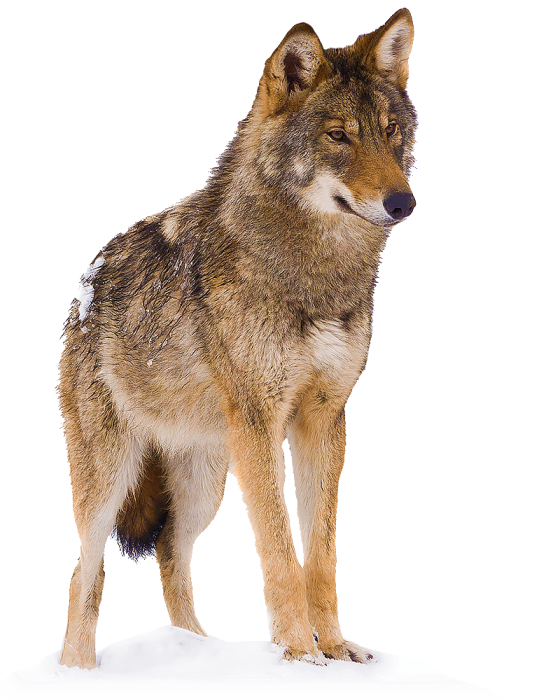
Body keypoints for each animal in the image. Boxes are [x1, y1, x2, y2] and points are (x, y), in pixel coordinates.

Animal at [57, 7, 417, 669]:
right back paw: (80, 672)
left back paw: (197, 652)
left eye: (389, 132)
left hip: (206, 485)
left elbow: (320, 555)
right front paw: (301, 656)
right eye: (338, 136)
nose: (403, 201)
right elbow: (280, 554)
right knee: (83, 575)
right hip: (111, 483)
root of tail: (82, 291)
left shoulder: (324, 419)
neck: (313, 279)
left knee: (170, 555)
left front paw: (335, 651)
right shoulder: (260, 421)